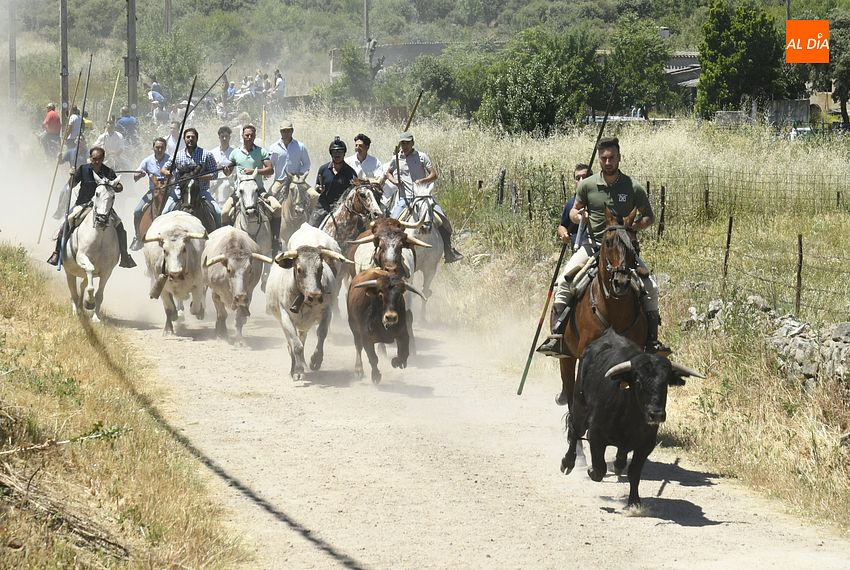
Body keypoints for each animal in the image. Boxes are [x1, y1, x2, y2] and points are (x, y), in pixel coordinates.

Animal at [61, 174, 120, 322]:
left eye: (113, 196)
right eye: (97, 193)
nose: (101, 219)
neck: (100, 237)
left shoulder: (107, 270)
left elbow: (99, 294)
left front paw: (96, 317)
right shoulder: (82, 258)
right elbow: (90, 272)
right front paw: (89, 302)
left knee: (82, 286)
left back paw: (81, 308)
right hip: (69, 272)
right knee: (73, 292)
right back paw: (76, 311)